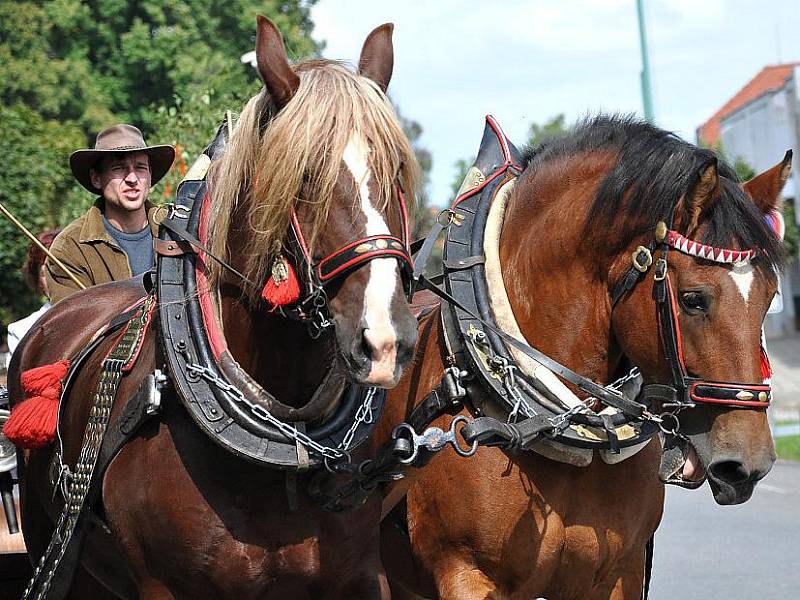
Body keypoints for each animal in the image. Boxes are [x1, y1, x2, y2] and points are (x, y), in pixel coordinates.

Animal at [9, 16, 422, 596]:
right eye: (305, 176)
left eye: (396, 169)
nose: (385, 340)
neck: (281, 452)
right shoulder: (164, 586)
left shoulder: (362, 574)